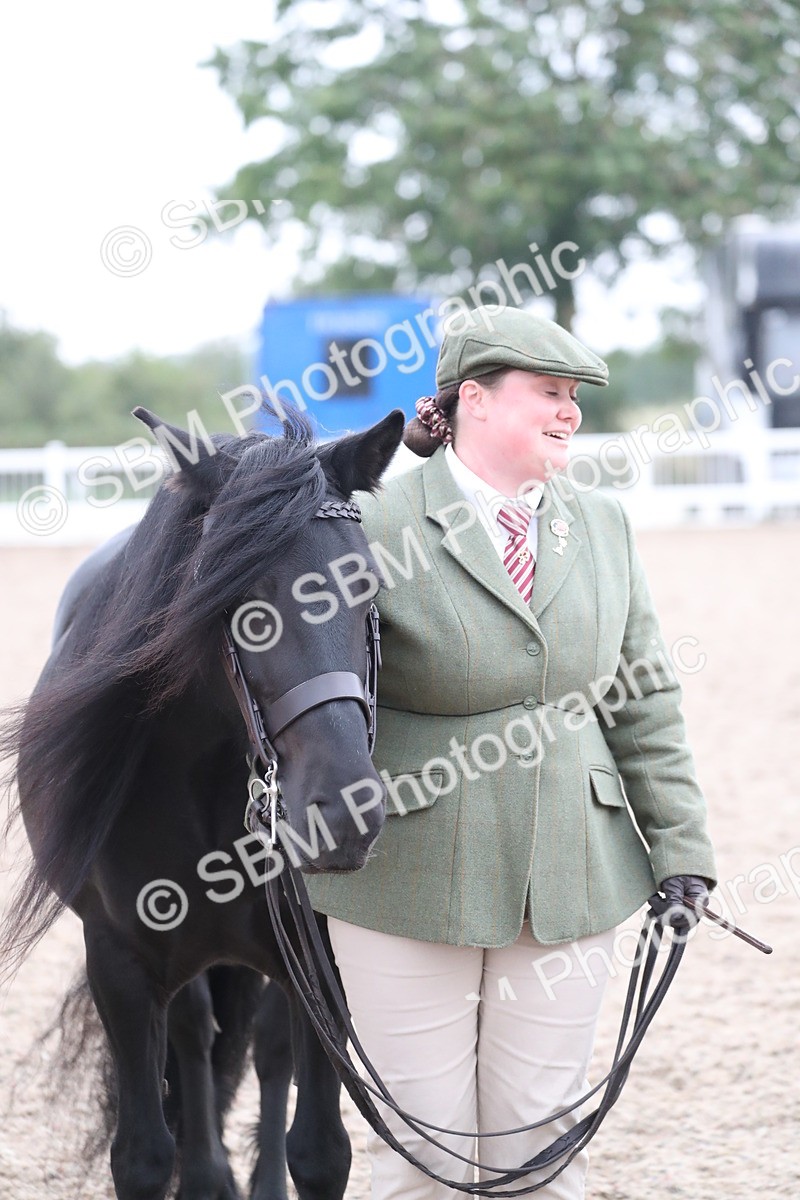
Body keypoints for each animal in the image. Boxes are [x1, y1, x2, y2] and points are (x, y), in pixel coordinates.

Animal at [1, 404, 405, 1200]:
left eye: (367, 588)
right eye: (241, 601)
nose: (341, 814)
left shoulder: (321, 963)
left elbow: (320, 1150)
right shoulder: (119, 964)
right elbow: (142, 1155)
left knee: (269, 1049)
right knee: (193, 1032)